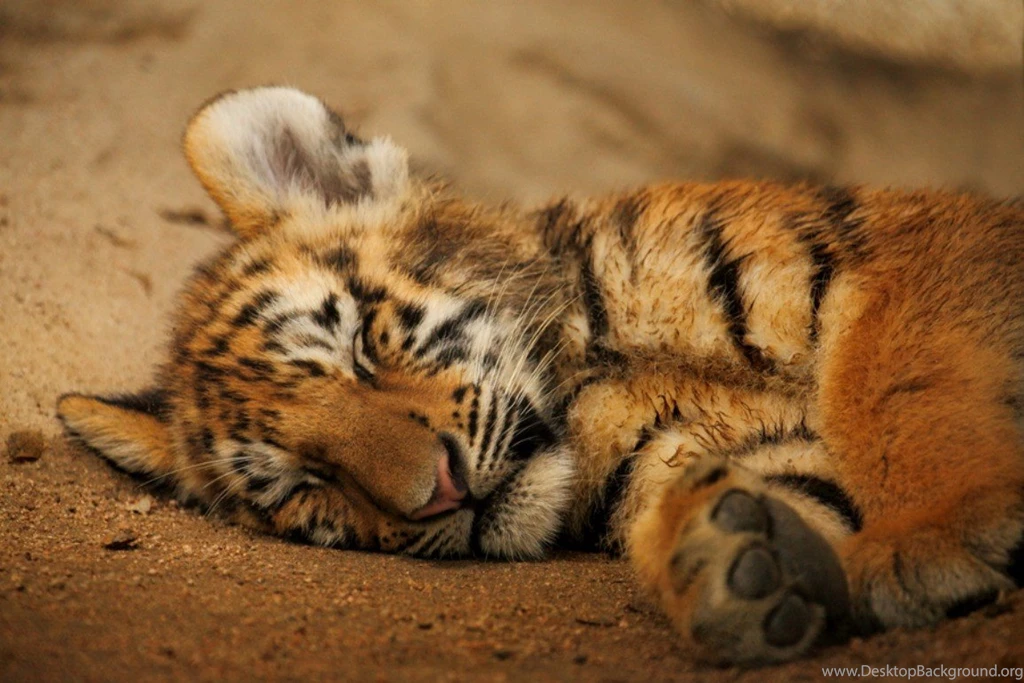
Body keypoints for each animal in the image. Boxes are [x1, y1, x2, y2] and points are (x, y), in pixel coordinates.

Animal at [56, 86, 1024, 665]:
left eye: (362, 343)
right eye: (307, 485)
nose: (439, 493)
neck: (590, 377)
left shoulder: (912, 255)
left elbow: (894, 388)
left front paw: (934, 535)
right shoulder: (751, 450)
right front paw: (732, 561)